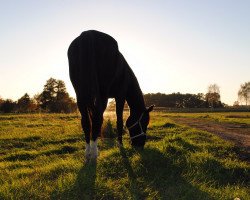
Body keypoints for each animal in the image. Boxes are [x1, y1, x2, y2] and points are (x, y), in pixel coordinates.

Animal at [67, 30, 153, 161]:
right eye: (144, 122)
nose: (140, 144)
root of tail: (88, 34)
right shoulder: (120, 96)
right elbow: (119, 120)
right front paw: (120, 144)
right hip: (102, 93)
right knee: (97, 118)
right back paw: (94, 153)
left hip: (80, 94)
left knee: (86, 122)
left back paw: (88, 152)